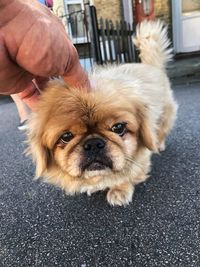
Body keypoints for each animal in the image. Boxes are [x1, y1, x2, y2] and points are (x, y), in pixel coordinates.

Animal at [27, 21, 178, 207]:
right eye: (66, 136)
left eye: (118, 128)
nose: (93, 143)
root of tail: (151, 65)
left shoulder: (140, 158)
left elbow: (127, 173)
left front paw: (119, 191)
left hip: (165, 115)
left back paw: (159, 144)